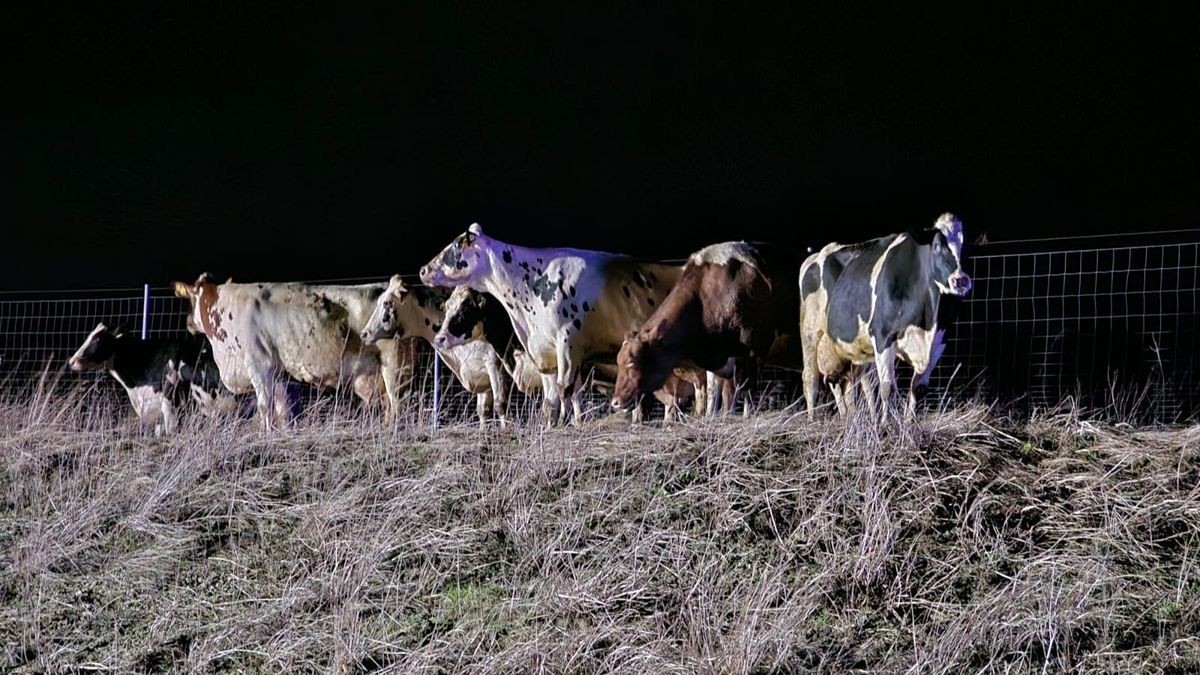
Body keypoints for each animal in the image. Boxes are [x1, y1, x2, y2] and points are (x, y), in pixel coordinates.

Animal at [171, 275, 417, 425]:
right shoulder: (278, 372)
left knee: (397, 404)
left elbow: (265, 407)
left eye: (191, 299)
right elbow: (282, 410)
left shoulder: (259, 364)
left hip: (395, 365)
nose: (187, 322)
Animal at [417, 223, 681, 422]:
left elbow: (566, 391)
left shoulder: (568, 343)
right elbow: (550, 402)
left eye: (455, 245)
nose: (423, 270)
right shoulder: (544, 352)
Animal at [614, 239, 801, 413]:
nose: (615, 402)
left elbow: (746, 391)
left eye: (632, 363)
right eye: (619, 362)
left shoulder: (754, 350)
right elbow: (715, 395)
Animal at [816, 211, 974, 420]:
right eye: (937, 246)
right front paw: (885, 424)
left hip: (859, 350)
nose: (961, 280)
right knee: (821, 380)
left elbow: (918, 389)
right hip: (817, 339)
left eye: (966, 247)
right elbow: (887, 388)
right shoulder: (883, 336)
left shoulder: (940, 341)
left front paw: (909, 423)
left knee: (859, 382)